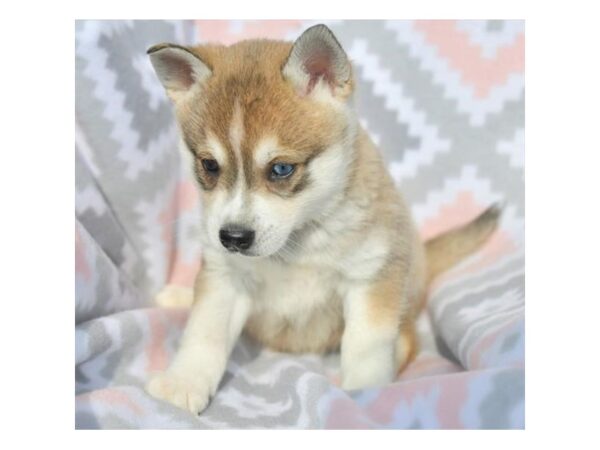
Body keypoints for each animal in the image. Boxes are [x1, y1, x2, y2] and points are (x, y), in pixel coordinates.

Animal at [143, 22, 500, 414]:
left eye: (281, 169)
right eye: (209, 165)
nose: (233, 238)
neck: (298, 243)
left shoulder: (371, 276)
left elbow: (365, 347)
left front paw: (366, 393)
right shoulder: (225, 277)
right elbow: (203, 333)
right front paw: (184, 381)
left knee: (406, 341)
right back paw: (178, 296)